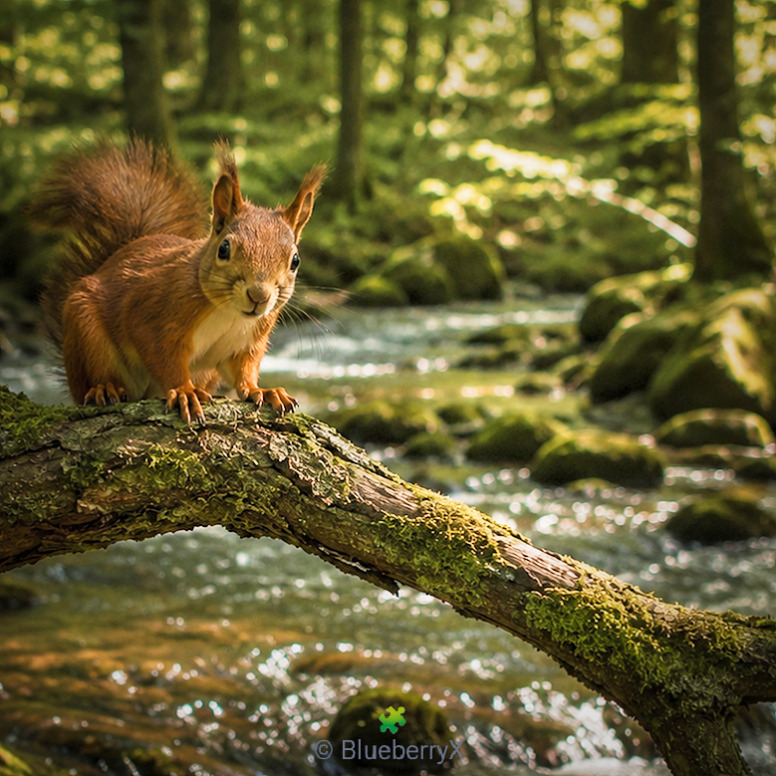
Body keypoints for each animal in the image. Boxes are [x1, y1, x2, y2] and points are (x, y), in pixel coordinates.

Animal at [31, 138, 325, 424]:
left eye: (295, 260)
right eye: (224, 249)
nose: (259, 296)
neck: (228, 313)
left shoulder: (248, 343)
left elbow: (243, 372)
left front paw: (261, 390)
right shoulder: (152, 313)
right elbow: (163, 357)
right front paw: (184, 390)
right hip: (86, 332)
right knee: (92, 378)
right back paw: (104, 388)